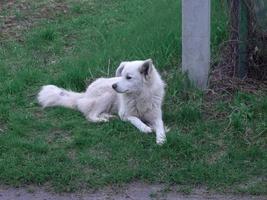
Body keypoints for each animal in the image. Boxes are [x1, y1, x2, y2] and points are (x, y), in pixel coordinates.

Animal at [37, 58, 168, 145]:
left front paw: (161, 138)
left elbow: (160, 125)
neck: (140, 96)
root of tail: (84, 94)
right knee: (90, 115)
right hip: (107, 96)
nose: (114, 86)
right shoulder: (125, 114)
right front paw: (145, 128)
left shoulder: (156, 116)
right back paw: (102, 120)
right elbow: (136, 119)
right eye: (121, 75)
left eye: (128, 77)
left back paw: (108, 116)